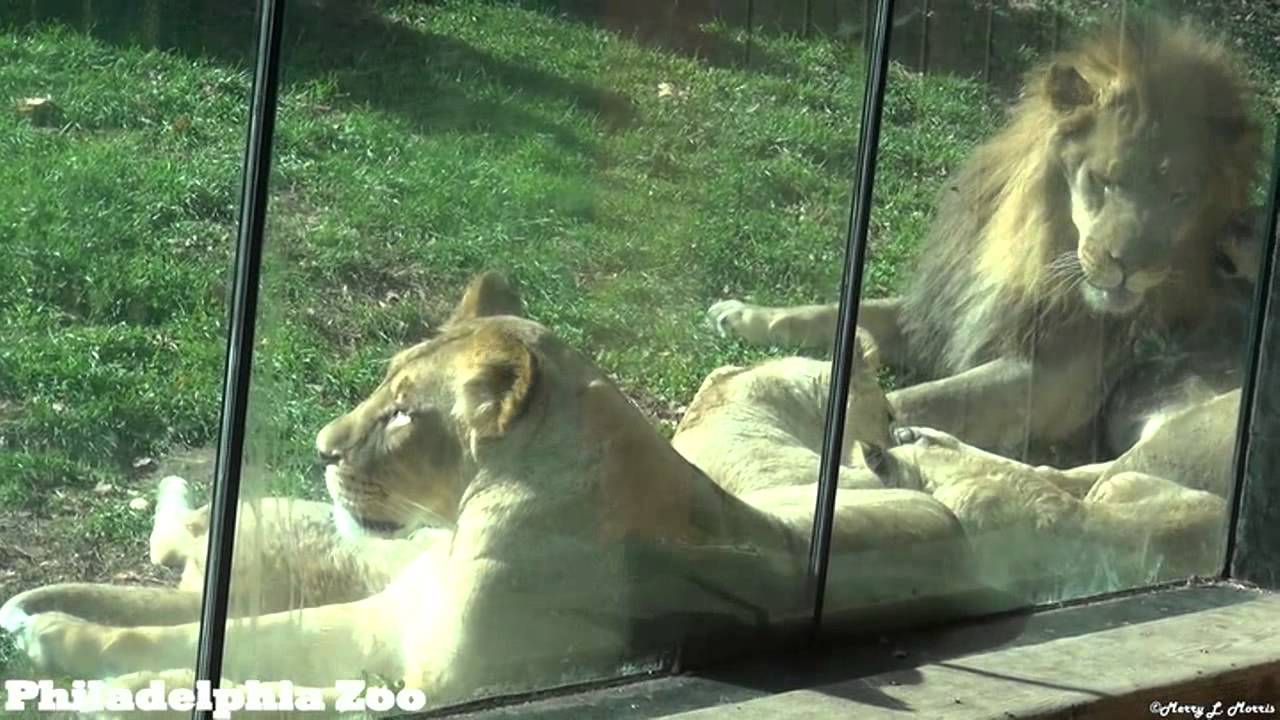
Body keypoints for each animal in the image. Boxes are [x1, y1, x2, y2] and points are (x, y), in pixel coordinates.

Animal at [1, 273, 977, 712]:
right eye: (381, 383)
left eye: (404, 412)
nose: (320, 450)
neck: (467, 522)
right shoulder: (391, 614)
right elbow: (243, 638)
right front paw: (70, 647)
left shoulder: (429, 675)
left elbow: (274, 676)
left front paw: (111, 685)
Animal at [710, 15, 1262, 464]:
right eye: (1102, 179)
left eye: (1179, 197)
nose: (1127, 267)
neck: (1038, 251)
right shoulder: (951, 312)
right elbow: (841, 310)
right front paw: (742, 314)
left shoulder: (1058, 379)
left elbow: (924, 397)